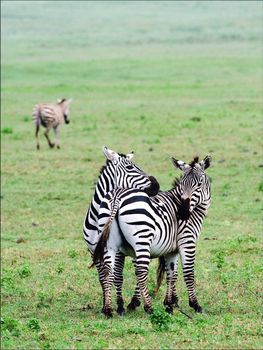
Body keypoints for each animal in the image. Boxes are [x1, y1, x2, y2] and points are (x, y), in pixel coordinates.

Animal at [83, 146, 160, 316]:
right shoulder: (94, 251)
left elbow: (117, 276)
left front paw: (120, 305)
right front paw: (106, 305)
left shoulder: (117, 251)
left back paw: (135, 301)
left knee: (139, 270)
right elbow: (103, 278)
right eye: (130, 167)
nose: (156, 185)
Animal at [94, 155, 211, 318]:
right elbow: (188, 273)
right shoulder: (187, 241)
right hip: (142, 240)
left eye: (199, 184)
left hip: (110, 244)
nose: (182, 212)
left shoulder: (171, 250)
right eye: (182, 184)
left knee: (107, 271)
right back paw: (149, 308)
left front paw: (169, 304)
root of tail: (118, 195)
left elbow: (171, 274)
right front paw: (195, 304)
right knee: (141, 272)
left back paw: (108, 309)